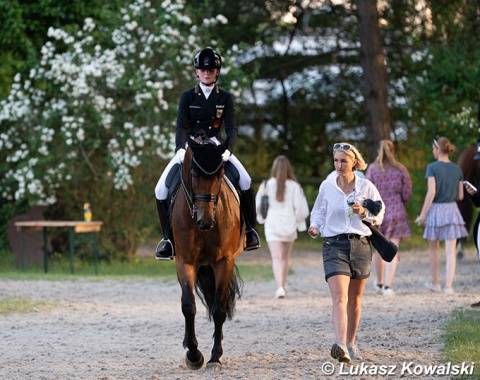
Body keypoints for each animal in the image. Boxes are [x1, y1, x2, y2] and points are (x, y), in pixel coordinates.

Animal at [172, 131, 246, 372]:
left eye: (221, 174)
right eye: (194, 174)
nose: (206, 222)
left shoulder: (224, 261)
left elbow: (219, 309)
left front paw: (215, 357)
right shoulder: (184, 262)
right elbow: (188, 306)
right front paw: (194, 355)